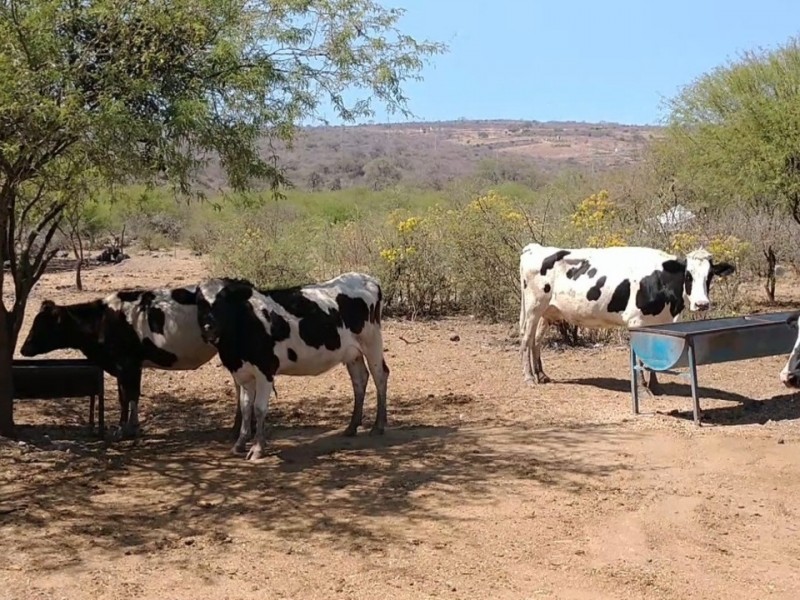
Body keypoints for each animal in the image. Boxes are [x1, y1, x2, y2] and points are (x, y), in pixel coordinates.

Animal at [19, 284, 225, 436]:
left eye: (42, 325)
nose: (22, 348)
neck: (103, 319)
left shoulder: (126, 364)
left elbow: (127, 396)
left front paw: (123, 430)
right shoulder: (129, 366)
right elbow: (129, 395)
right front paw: (132, 427)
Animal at [197, 270, 390, 460]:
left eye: (223, 300)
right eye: (199, 302)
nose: (208, 327)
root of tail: (366, 278)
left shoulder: (265, 371)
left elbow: (259, 408)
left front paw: (258, 448)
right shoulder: (243, 374)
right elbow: (245, 407)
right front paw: (240, 444)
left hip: (372, 342)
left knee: (380, 375)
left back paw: (378, 425)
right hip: (352, 353)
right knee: (360, 380)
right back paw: (352, 426)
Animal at [520, 244, 736, 390]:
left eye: (710, 276)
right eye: (688, 275)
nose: (702, 304)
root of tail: (535, 248)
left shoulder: (659, 322)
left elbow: (652, 355)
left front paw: (655, 385)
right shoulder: (636, 321)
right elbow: (640, 356)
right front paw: (642, 386)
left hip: (547, 312)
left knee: (536, 341)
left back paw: (542, 375)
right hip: (532, 308)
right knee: (526, 340)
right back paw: (529, 377)